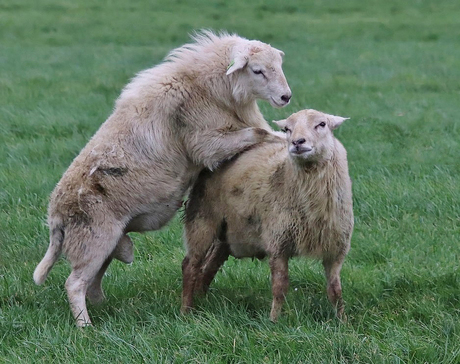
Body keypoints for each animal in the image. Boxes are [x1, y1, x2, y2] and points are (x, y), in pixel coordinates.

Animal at [33, 30, 292, 328]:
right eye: (257, 70)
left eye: (279, 66)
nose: (286, 96)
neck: (205, 84)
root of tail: (55, 216)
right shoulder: (207, 144)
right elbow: (259, 133)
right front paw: (288, 138)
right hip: (93, 239)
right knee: (74, 283)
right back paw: (86, 327)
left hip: (106, 243)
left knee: (92, 282)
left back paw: (105, 308)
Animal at [181, 109, 354, 322]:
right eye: (286, 129)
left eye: (322, 124)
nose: (297, 142)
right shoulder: (278, 241)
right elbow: (280, 287)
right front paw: (274, 321)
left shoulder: (336, 249)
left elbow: (335, 291)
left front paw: (343, 322)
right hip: (202, 219)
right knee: (190, 265)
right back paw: (186, 311)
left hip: (229, 232)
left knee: (209, 266)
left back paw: (201, 299)